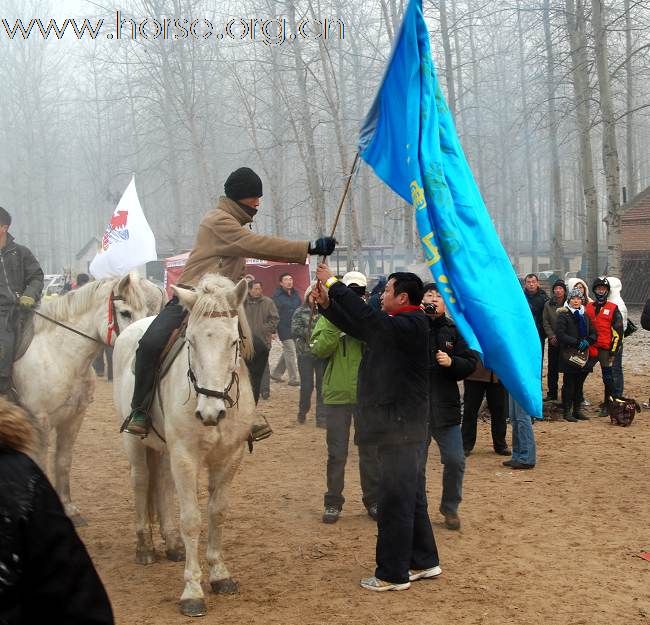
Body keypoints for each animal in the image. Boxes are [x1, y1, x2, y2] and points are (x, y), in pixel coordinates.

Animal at [14, 276, 163, 524]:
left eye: (146, 310)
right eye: (125, 312)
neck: (59, 354)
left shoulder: (74, 418)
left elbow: (63, 461)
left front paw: (69, 509)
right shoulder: (39, 420)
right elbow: (41, 463)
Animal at [112, 276, 254, 616]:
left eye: (234, 342)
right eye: (191, 342)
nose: (210, 413)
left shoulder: (230, 457)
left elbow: (217, 512)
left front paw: (220, 575)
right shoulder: (185, 457)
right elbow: (191, 519)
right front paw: (192, 591)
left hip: (164, 450)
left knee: (161, 483)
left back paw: (172, 544)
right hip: (135, 443)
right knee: (141, 481)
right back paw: (145, 547)